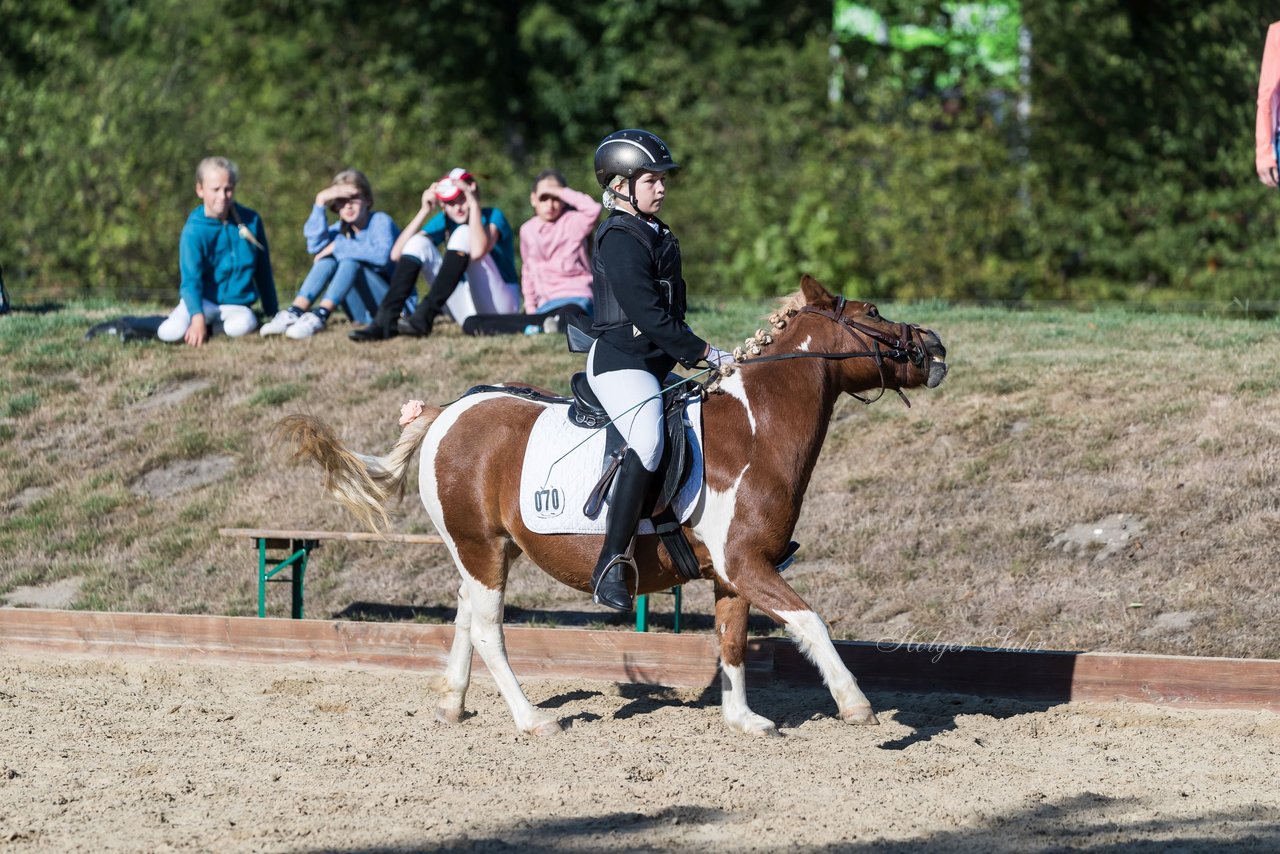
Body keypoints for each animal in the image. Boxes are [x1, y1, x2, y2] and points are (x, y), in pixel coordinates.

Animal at [277, 277, 942, 737]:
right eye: (874, 314)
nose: (935, 347)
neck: (755, 431)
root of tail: (449, 410)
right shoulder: (748, 563)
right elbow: (810, 622)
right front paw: (856, 704)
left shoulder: (735, 573)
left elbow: (729, 640)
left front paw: (742, 720)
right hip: (481, 547)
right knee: (489, 629)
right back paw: (532, 720)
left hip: (488, 550)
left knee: (466, 615)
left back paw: (452, 704)